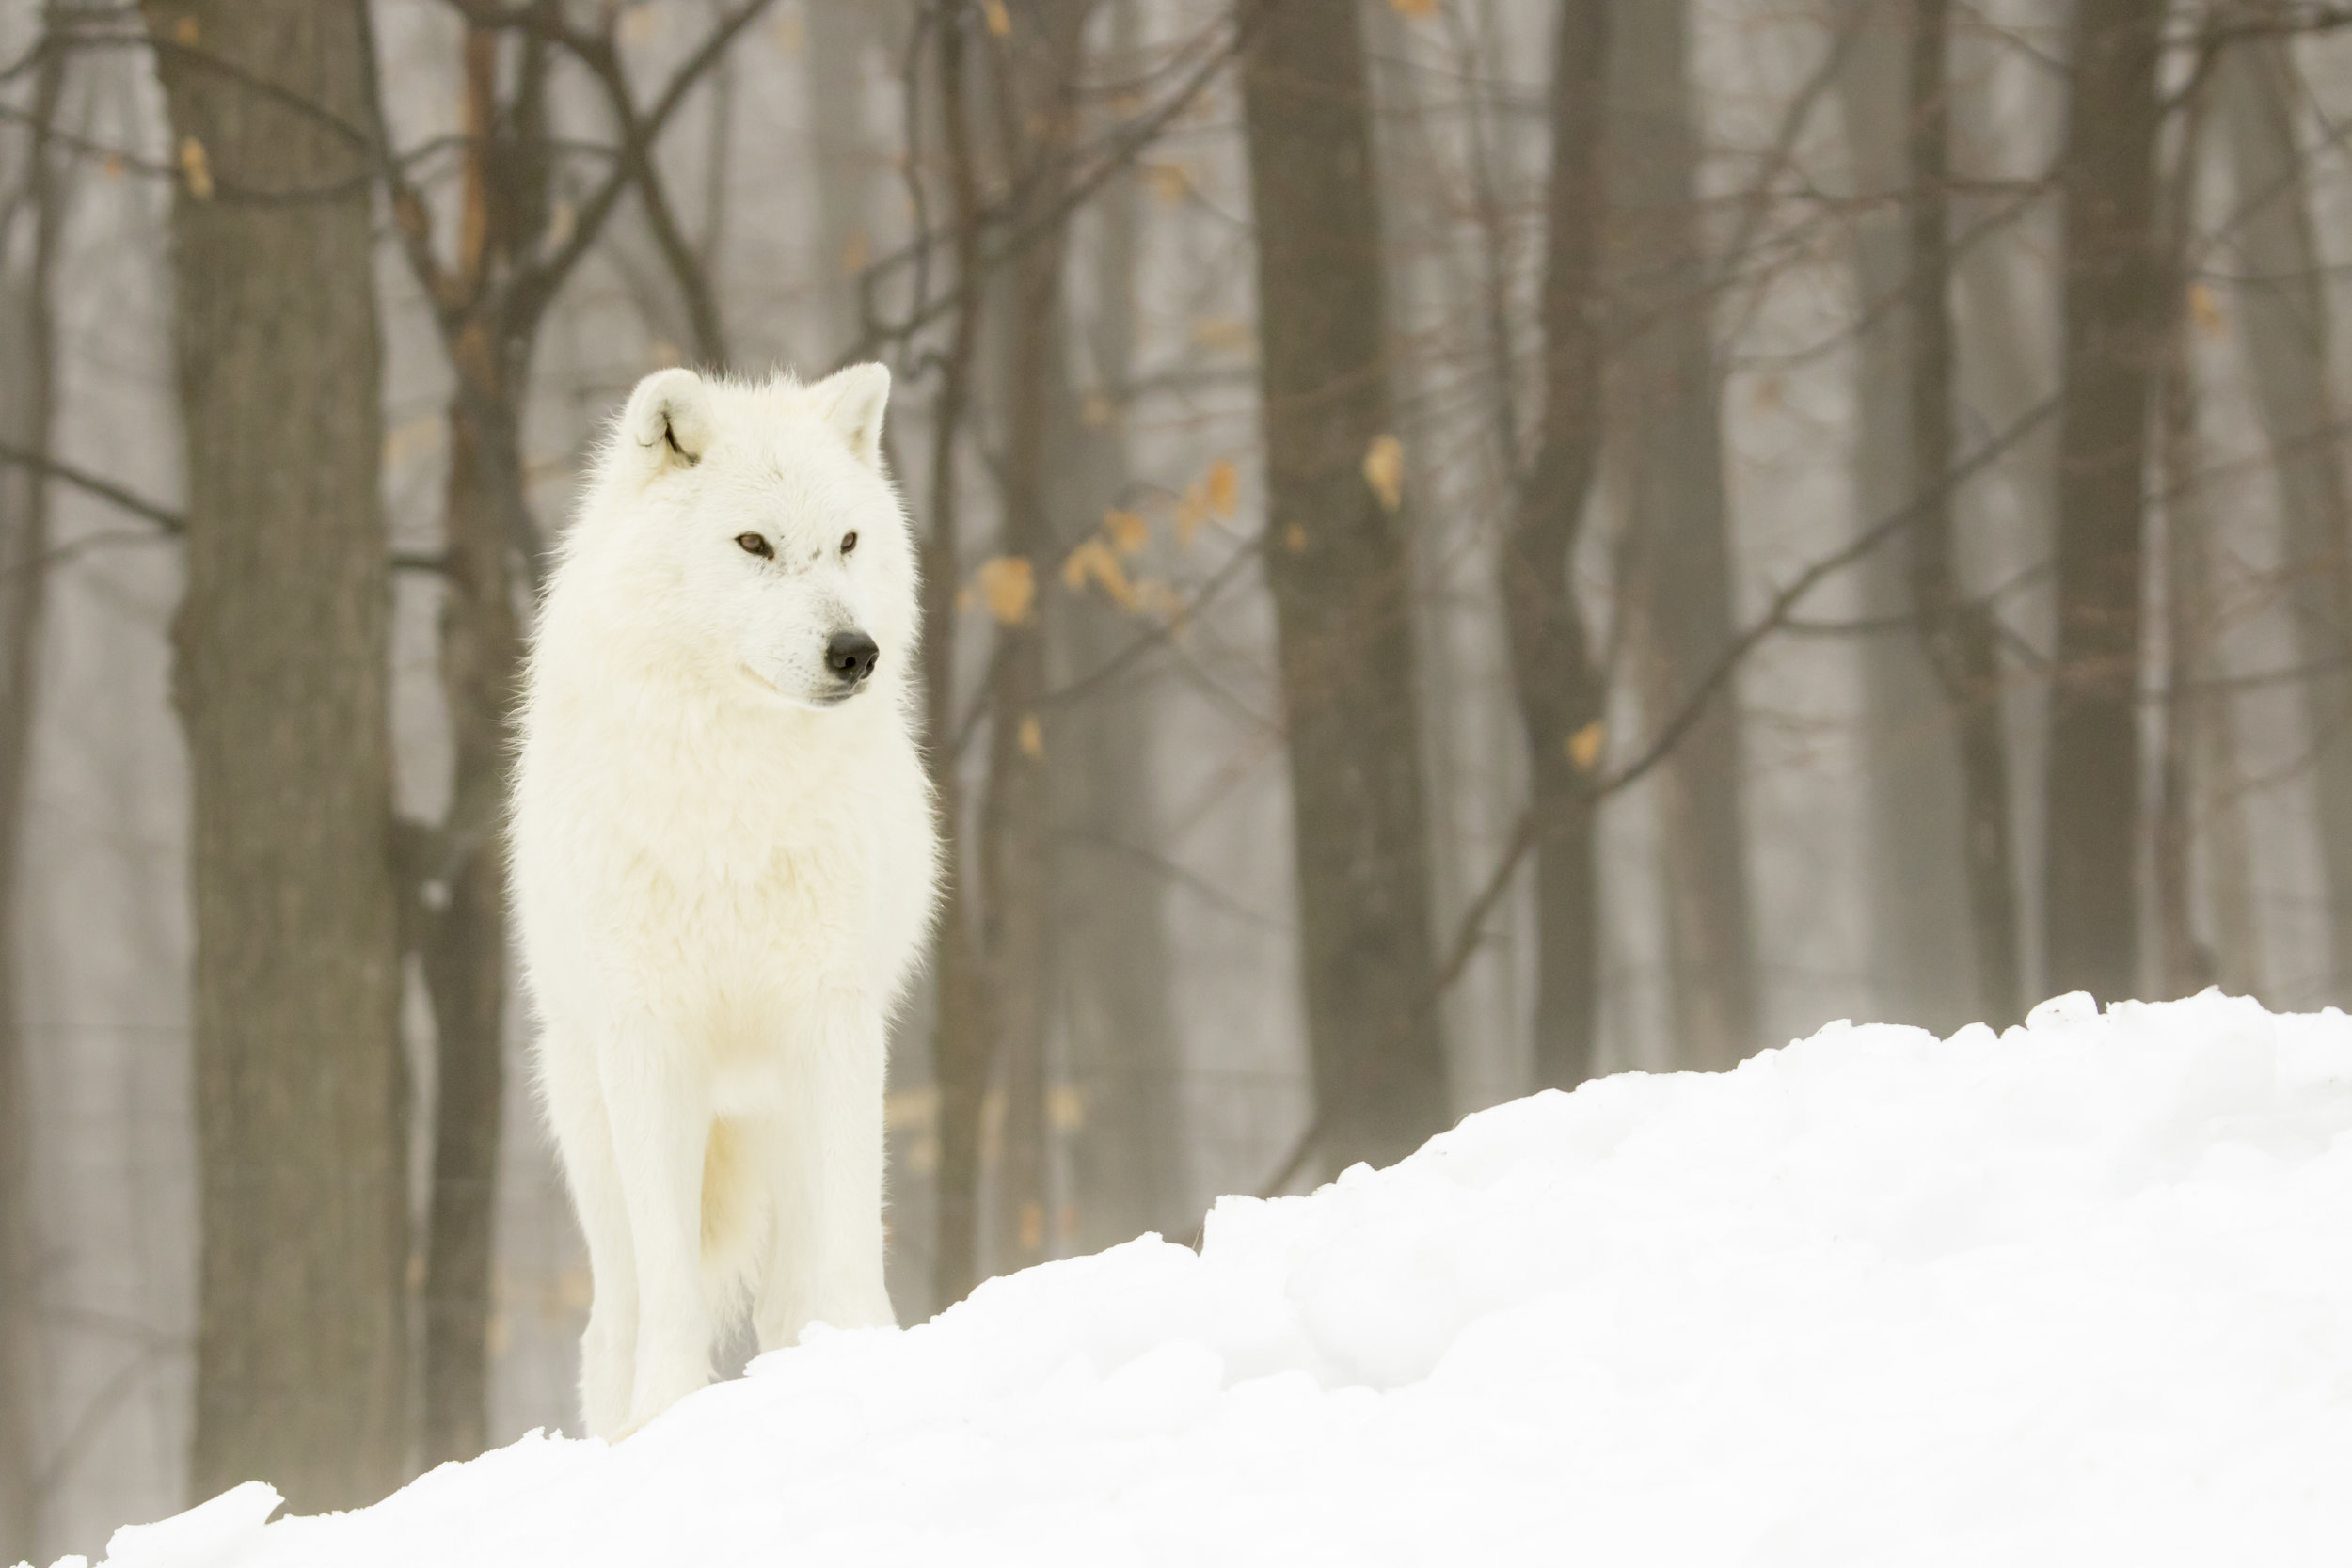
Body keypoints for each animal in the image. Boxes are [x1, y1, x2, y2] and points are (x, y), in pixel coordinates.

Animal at [513, 361, 936, 1438]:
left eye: (847, 542)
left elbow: (851, 1252)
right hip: (593, 1128)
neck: (737, 793)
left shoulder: (832, 1022)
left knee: (792, 1297)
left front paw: (870, 1366)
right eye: (753, 544)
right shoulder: (649, 1038)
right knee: (615, 1322)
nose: (854, 650)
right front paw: (668, 1412)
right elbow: (673, 1291)